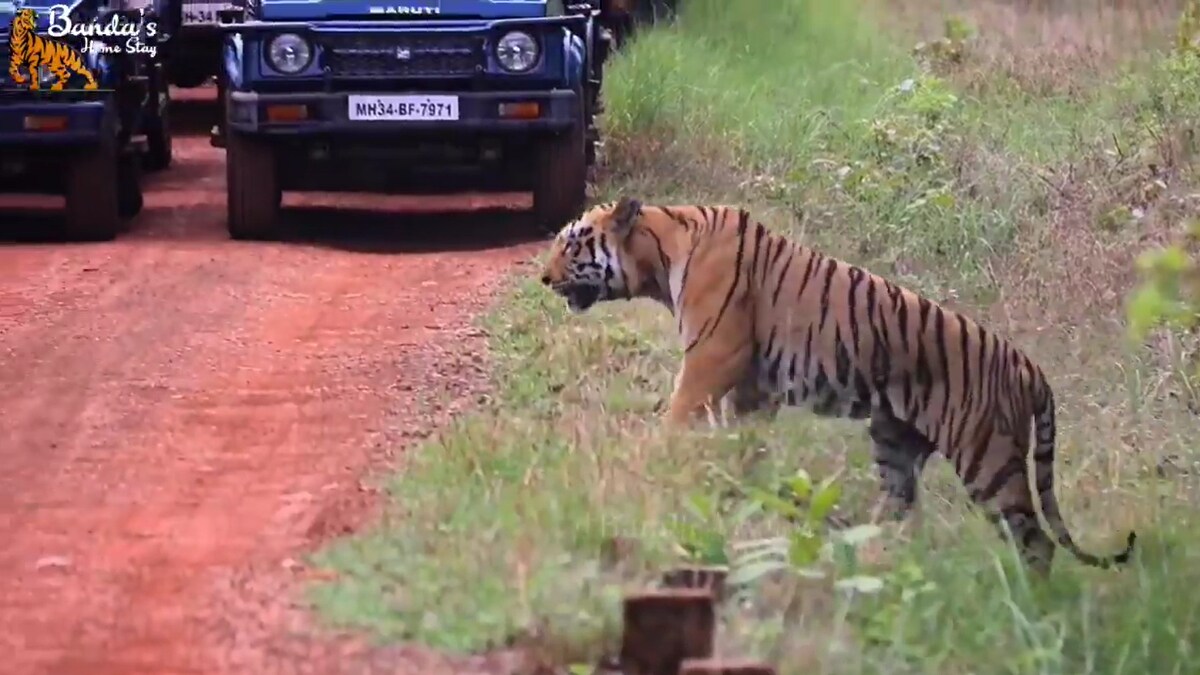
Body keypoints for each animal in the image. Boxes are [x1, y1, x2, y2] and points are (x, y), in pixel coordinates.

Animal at [540, 195, 1137, 571]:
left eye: (572, 244)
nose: (542, 278)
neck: (660, 256)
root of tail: (1030, 368)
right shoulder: (753, 388)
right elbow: (745, 445)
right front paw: (744, 492)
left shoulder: (712, 359)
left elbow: (679, 418)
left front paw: (659, 470)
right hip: (895, 440)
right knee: (901, 512)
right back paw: (871, 555)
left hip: (988, 458)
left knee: (1036, 541)